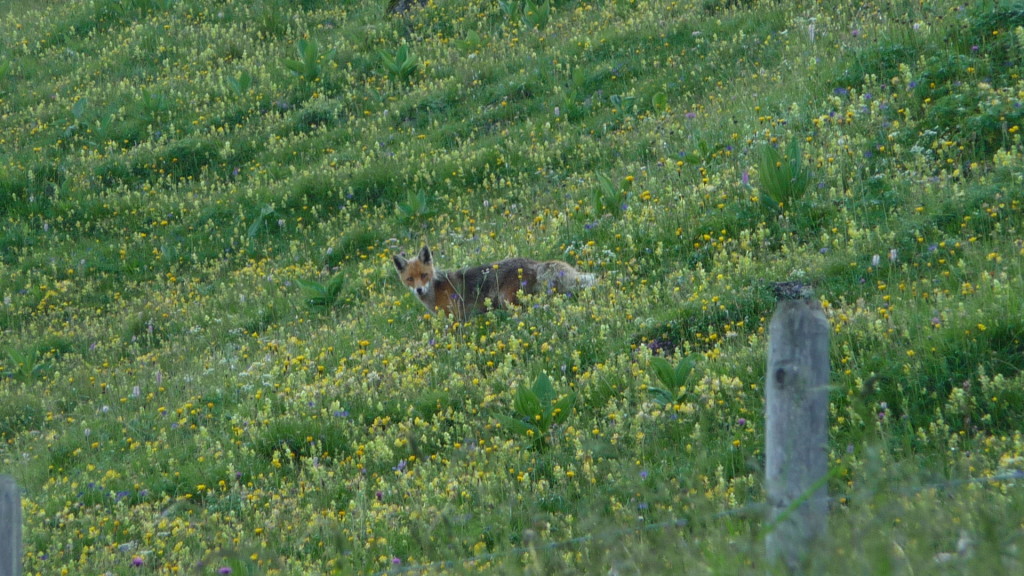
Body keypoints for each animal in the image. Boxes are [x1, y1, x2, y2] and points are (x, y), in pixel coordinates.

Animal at [392, 245, 596, 321]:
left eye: (424, 275)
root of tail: (535, 263)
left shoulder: (457, 320)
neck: (436, 289)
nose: (419, 290)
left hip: (507, 300)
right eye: (410, 279)